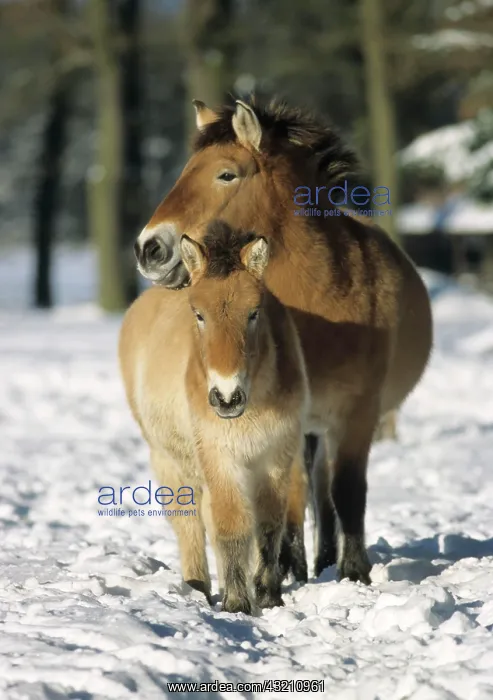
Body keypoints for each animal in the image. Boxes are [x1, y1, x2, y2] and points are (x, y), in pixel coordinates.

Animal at [119, 220, 309, 614]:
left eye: (254, 312)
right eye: (198, 314)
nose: (226, 397)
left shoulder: (276, 457)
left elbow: (268, 524)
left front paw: (267, 594)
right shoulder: (219, 458)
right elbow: (231, 524)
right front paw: (237, 602)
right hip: (172, 464)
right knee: (190, 523)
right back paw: (197, 587)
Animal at [133, 96, 433, 585]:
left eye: (226, 174)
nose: (149, 248)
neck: (328, 299)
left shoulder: (357, 413)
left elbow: (348, 489)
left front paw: (354, 571)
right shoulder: (287, 420)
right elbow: (290, 495)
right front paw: (289, 568)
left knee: (324, 488)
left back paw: (327, 559)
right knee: (307, 487)